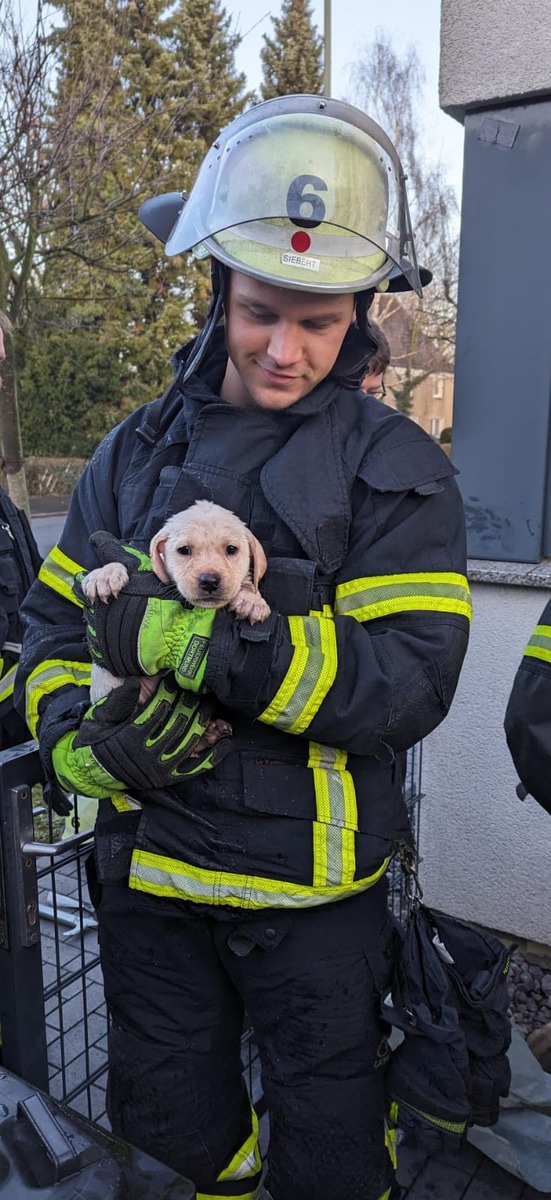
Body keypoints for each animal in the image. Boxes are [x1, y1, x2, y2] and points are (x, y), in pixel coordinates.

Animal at [82, 496, 271, 748]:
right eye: (184, 550)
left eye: (231, 549)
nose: (209, 581)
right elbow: (125, 565)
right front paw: (104, 576)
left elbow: (248, 583)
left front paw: (251, 600)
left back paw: (210, 733)